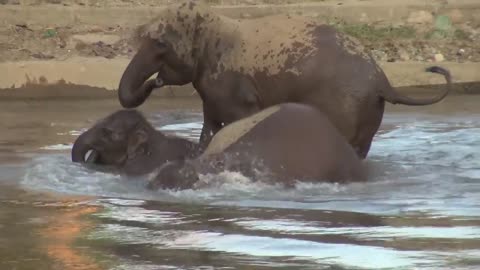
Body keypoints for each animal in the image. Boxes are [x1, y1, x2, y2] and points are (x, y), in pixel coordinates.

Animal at [118, 0, 452, 158]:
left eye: (160, 43)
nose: (154, 82)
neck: (216, 25)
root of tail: (384, 81)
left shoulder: (236, 91)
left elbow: (239, 122)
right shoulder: (212, 92)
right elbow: (208, 130)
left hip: (346, 106)